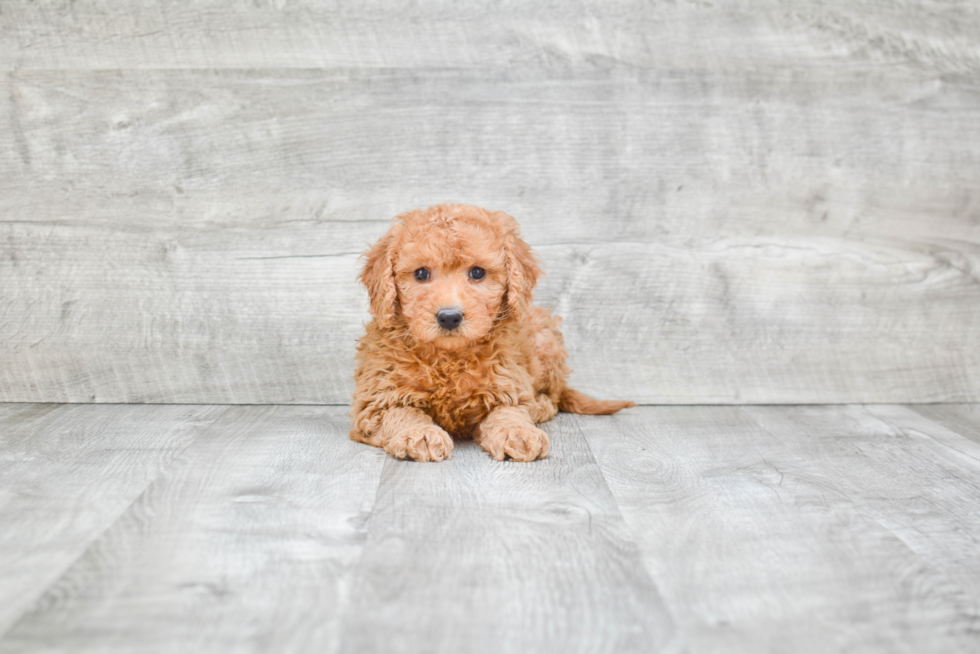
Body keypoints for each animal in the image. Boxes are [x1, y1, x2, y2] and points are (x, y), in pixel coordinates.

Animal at [350, 202, 636, 464]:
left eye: (477, 272)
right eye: (421, 273)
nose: (449, 317)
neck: (448, 358)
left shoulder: (507, 384)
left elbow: (509, 412)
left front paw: (518, 433)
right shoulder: (378, 398)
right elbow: (401, 413)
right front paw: (420, 433)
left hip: (546, 339)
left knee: (555, 395)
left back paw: (541, 406)